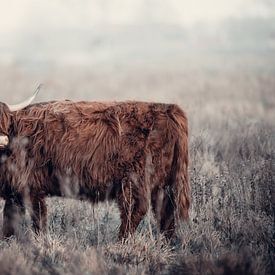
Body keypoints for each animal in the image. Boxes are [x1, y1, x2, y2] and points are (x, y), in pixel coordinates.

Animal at [0, 90, 190, 239]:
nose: (2, 140)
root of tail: (169, 109)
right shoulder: (14, 191)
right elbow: (9, 221)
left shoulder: (29, 186)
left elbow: (37, 218)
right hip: (164, 185)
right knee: (166, 213)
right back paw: (167, 243)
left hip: (134, 180)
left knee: (134, 210)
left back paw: (120, 242)